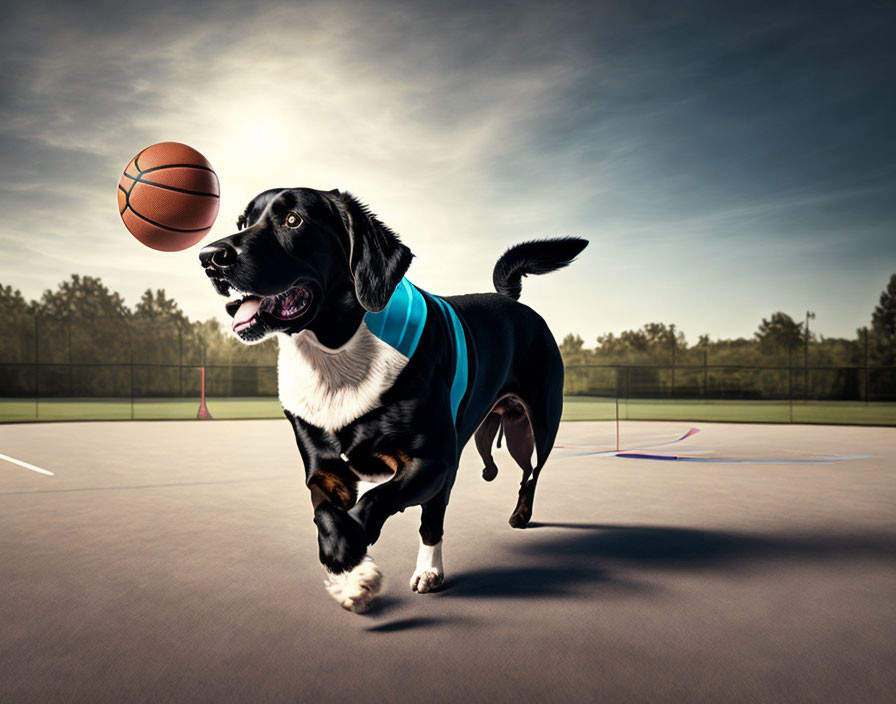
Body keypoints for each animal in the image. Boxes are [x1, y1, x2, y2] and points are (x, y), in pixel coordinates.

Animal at [199, 187, 584, 612]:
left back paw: (520, 515)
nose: (209, 257)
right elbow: (327, 511)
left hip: (536, 427)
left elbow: (391, 504)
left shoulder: (434, 462)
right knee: (499, 464)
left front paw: (410, 566)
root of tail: (513, 301)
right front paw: (346, 565)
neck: (335, 355)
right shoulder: (324, 470)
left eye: (293, 220)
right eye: (242, 222)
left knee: (531, 473)